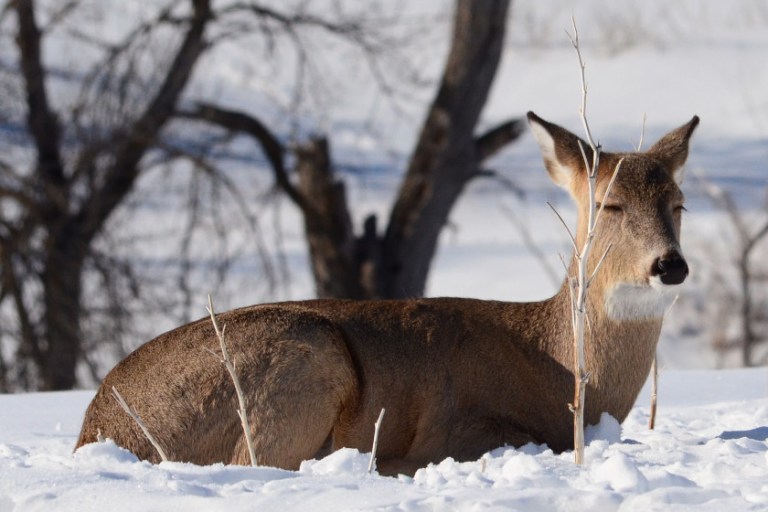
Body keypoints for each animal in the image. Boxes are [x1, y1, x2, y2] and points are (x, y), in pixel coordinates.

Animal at [75, 112, 700, 476]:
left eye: (679, 203)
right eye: (608, 204)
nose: (670, 265)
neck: (559, 367)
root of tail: (98, 428)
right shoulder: (461, 424)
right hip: (302, 356)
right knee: (255, 463)